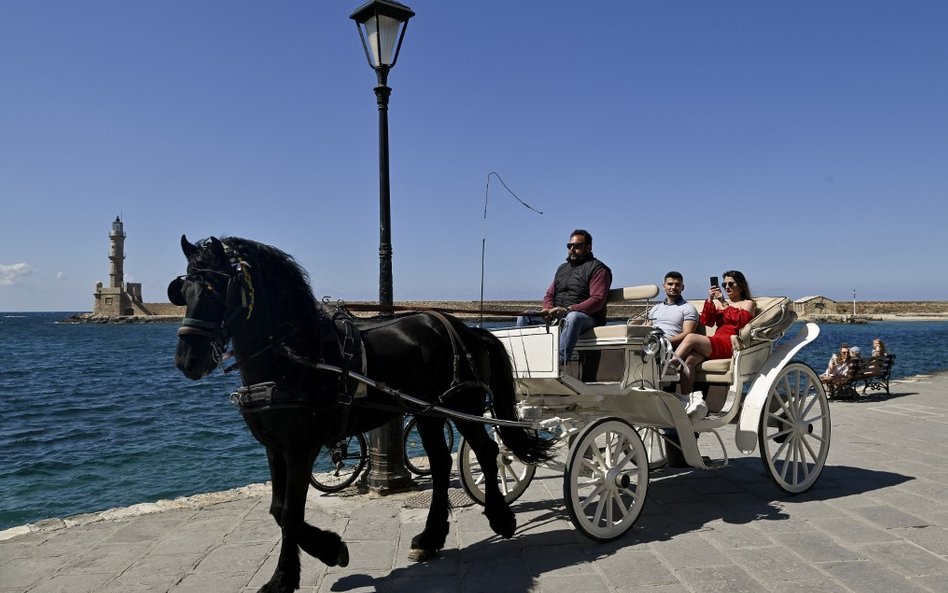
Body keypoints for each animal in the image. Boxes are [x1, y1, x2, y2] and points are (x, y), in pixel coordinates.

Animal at [167, 236, 544, 592]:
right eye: (182, 292)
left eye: (215, 290)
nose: (187, 361)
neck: (296, 355)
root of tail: (468, 329)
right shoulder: (274, 446)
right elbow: (277, 508)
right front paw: (327, 550)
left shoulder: (301, 447)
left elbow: (290, 512)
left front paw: (289, 575)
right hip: (429, 413)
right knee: (440, 463)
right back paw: (430, 538)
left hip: (463, 406)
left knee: (487, 451)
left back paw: (500, 518)